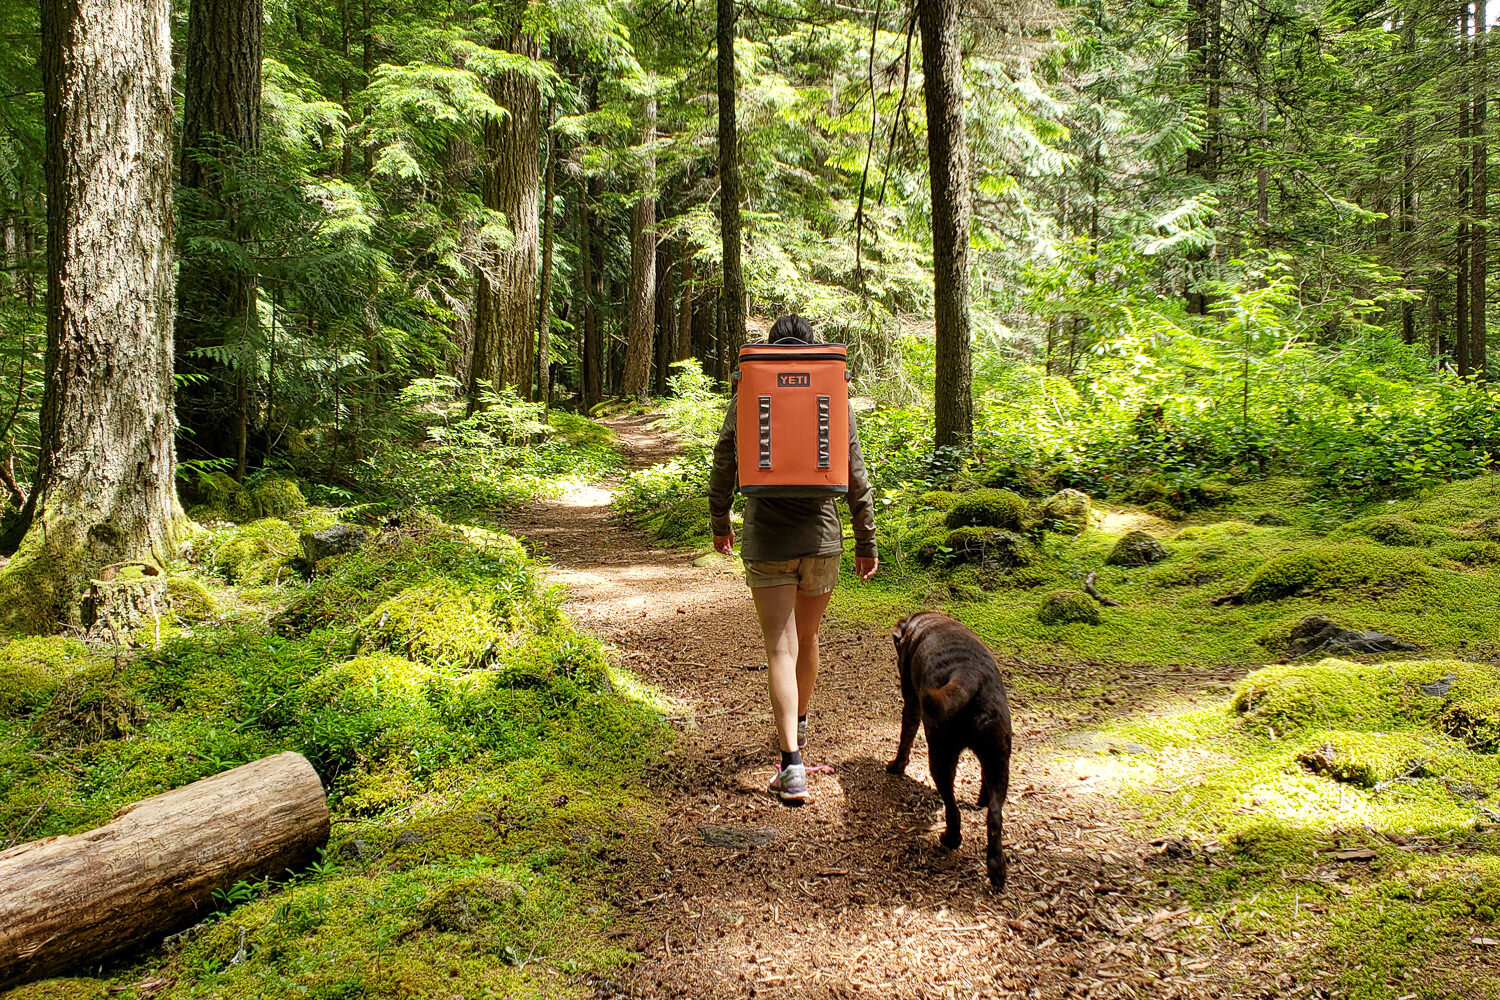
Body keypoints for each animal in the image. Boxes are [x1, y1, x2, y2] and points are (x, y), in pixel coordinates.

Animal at [882, 611, 1014, 893]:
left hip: (940, 754)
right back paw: (996, 867)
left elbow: (906, 737)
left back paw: (950, 839)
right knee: (994, 815)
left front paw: (896, 766)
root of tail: (969, 673)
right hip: (998, 757)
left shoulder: (911, 702)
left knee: (953, 808)